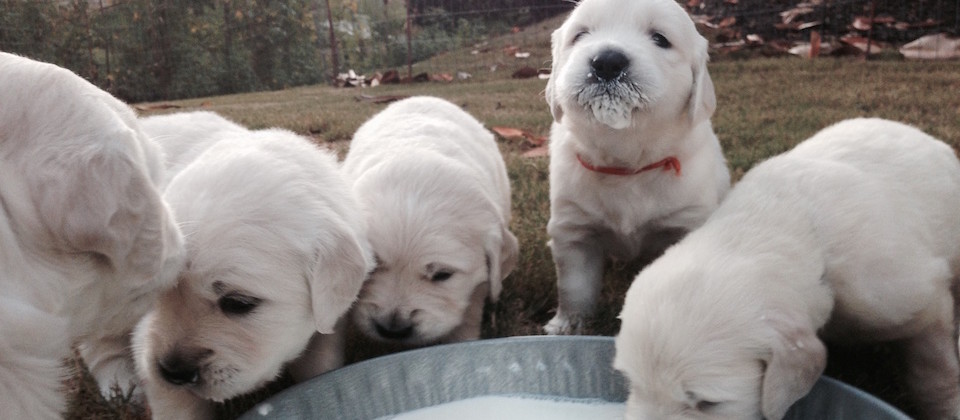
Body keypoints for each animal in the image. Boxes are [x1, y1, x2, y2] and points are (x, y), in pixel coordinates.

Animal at [544, 0, 732, 334]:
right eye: (580, 35)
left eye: (660, 39)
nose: (606, 62)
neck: (627, 164)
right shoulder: (573, 229)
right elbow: (574, 288)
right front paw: (568, 325)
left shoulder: (686, 222)